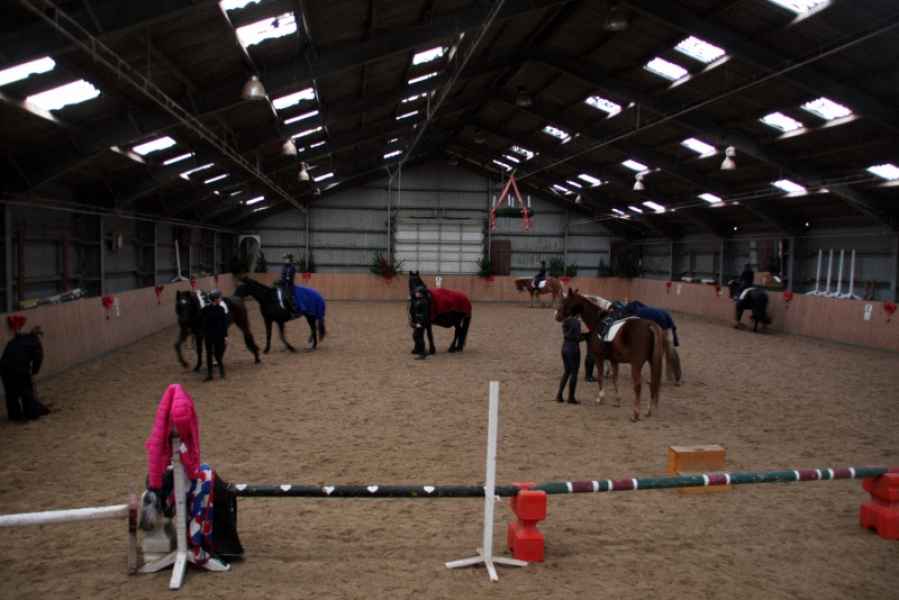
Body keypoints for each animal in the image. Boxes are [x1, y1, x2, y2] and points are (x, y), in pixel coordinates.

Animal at [556, 289, 663, 422]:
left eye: (565, 301)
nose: (557, 316)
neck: (598, 322)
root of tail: (649, 325)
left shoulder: (599, 358)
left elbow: (601, 376)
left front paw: (600, 397)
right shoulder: (614, 360)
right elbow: (614, 379)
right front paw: (617, 400)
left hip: (636, 364)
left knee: (638, 385)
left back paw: (635, 414)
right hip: (652, 362)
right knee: (652, 383)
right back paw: (648, 411)